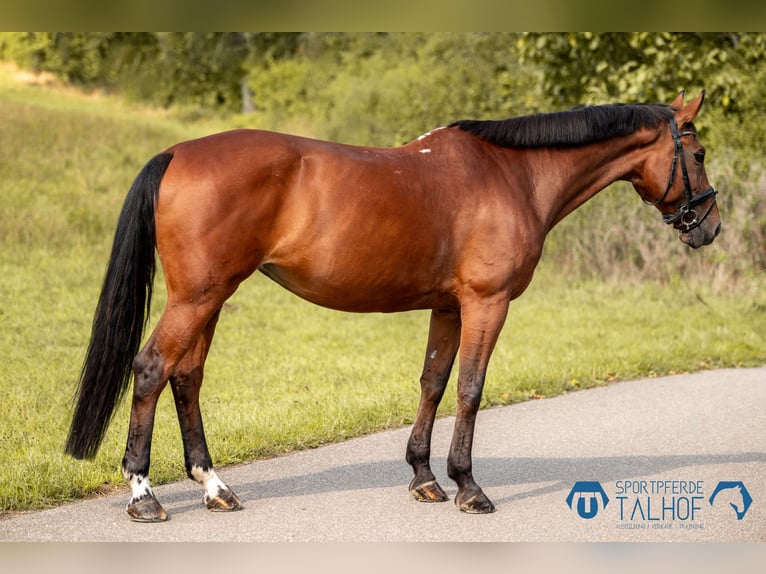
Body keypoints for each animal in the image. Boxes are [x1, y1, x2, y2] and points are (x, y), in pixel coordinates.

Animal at [66, 89, 720, 520]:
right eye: (700, 154)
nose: (708, 226)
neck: (512, 174)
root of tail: (178, 153)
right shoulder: (486, 304)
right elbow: (470, 389)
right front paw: (468, 488)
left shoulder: (449, 308)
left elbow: (433, 382)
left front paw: (425, 478)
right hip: (197, 296)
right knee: (152, 369)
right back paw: (144, 495)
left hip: (212, 296)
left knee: (187, 377)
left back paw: (215, 488)